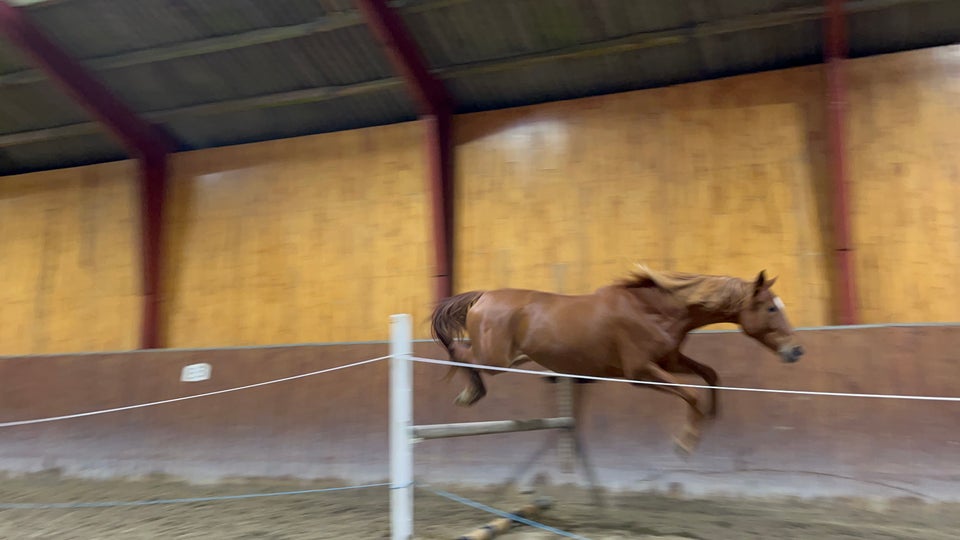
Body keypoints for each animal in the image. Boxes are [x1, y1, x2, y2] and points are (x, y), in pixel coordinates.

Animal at [428, 264, 804, 452]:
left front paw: (710, 417)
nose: (796, 350)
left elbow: (710, 374)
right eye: (771, 307)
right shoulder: (641, 372)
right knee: (461, 353)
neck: (651, 310)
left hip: (511, 358)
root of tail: (483, 297)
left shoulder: (669, 361)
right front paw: (686, 441)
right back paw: (470, 393)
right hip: (495, 360)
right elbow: (692, 393)